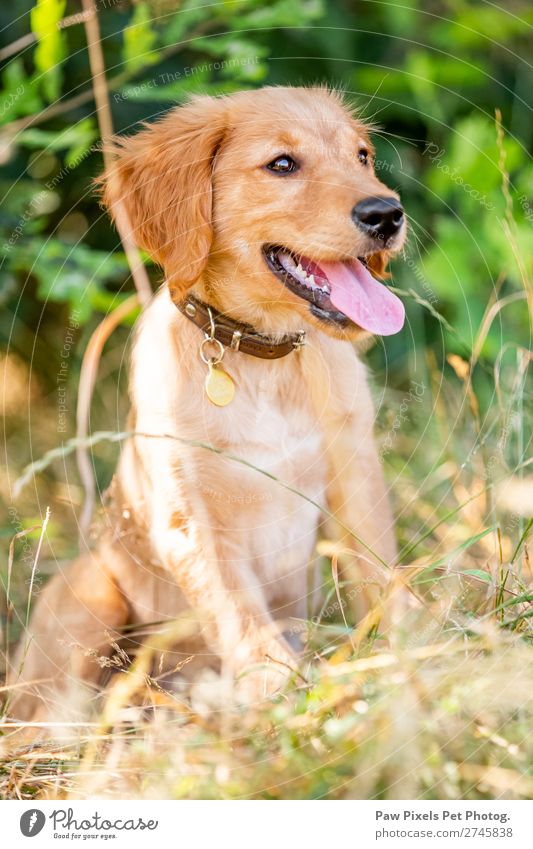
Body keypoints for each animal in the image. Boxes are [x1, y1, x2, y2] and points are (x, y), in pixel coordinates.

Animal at [10, 88, 406, 728]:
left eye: (363, 156)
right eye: (282, 164)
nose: (388, 214)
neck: (260, 356)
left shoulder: (355, 477)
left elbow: (382, 574)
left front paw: (426, 643)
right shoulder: (190, 518)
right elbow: (239, 611)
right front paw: (278, 690)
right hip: (88, 597)